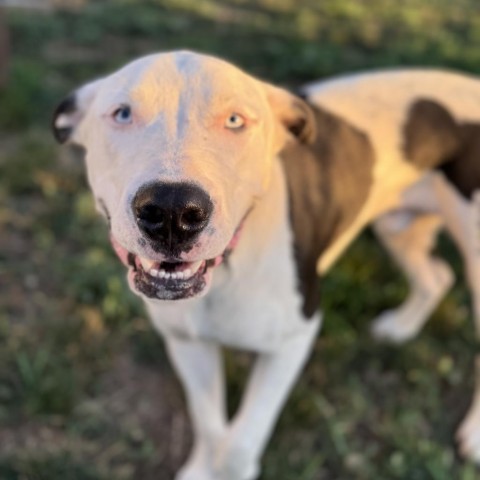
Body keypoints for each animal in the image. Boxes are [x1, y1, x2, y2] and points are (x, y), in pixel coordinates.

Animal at [50, 50, 480, 478]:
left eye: (235, 120)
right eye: (122, 113)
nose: (172, 210)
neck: (227, 272)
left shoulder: (292, 341)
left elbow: (239, 443)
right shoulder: (186, 341)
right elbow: (209, 425)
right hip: (397, 227)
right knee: (438, 277)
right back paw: (401, 327)